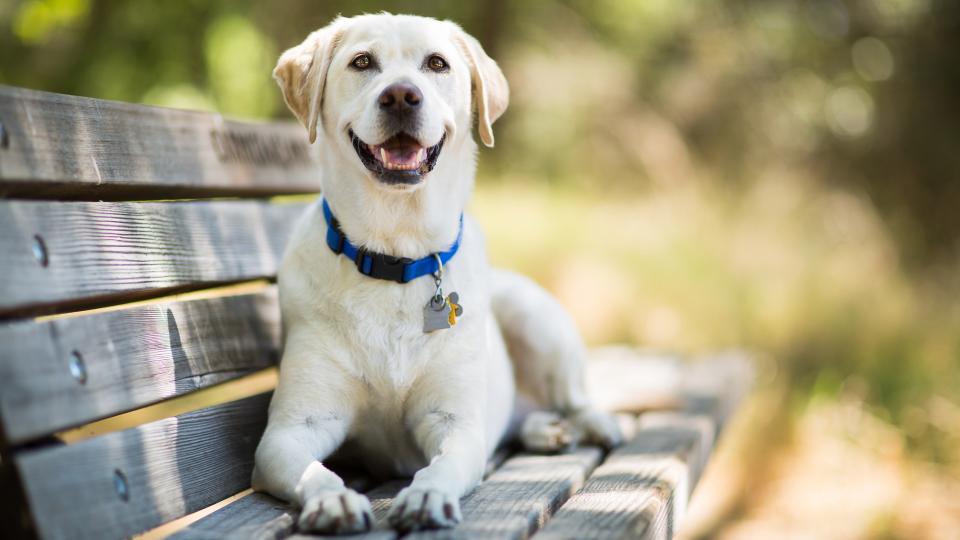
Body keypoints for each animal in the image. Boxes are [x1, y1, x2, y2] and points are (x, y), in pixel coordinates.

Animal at [249, 13, 624, 536]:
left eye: (437, 64)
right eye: (361, 62)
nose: (401, 95)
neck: (395, 256)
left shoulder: (454, 423)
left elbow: (442, 464)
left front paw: (427, 495)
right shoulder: (290, 431)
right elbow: (313, 470)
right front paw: (333, 499)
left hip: (534, 315)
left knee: (570, 396)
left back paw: (593, 424)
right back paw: (543, 429)